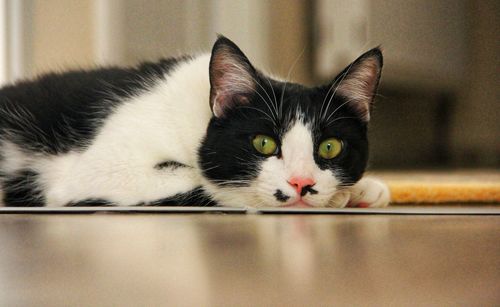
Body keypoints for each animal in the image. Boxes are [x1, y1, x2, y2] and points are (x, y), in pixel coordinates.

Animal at [0, 36, 390, 209]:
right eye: (263, 143)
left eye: (330, 147)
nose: (302, 183)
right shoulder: (93, 171)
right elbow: (197, 178)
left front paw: (364, 189)